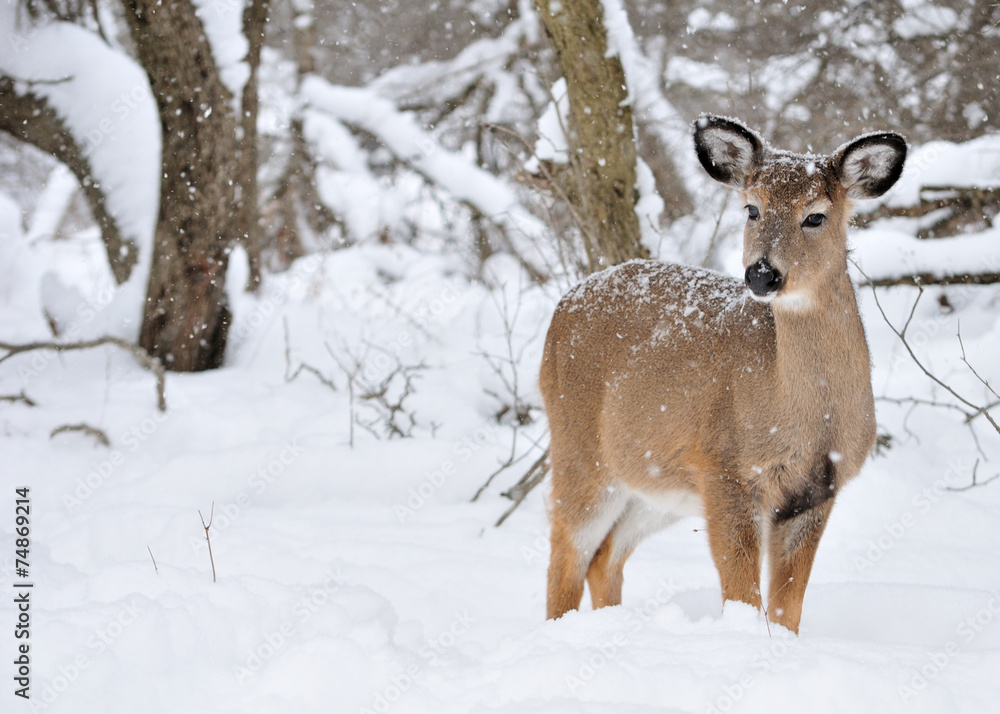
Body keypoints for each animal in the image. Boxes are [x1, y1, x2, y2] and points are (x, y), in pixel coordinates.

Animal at [539, 115, 907, 633]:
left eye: (815, 216)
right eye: (752, 208)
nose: (762, 275)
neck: (810, 417)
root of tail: (563, 306)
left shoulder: (817, 493)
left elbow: (787, 607)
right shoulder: (725, 467)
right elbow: (743, 595)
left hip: (653, 483)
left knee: (604, 558)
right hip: (580, 448)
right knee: (567, 555)